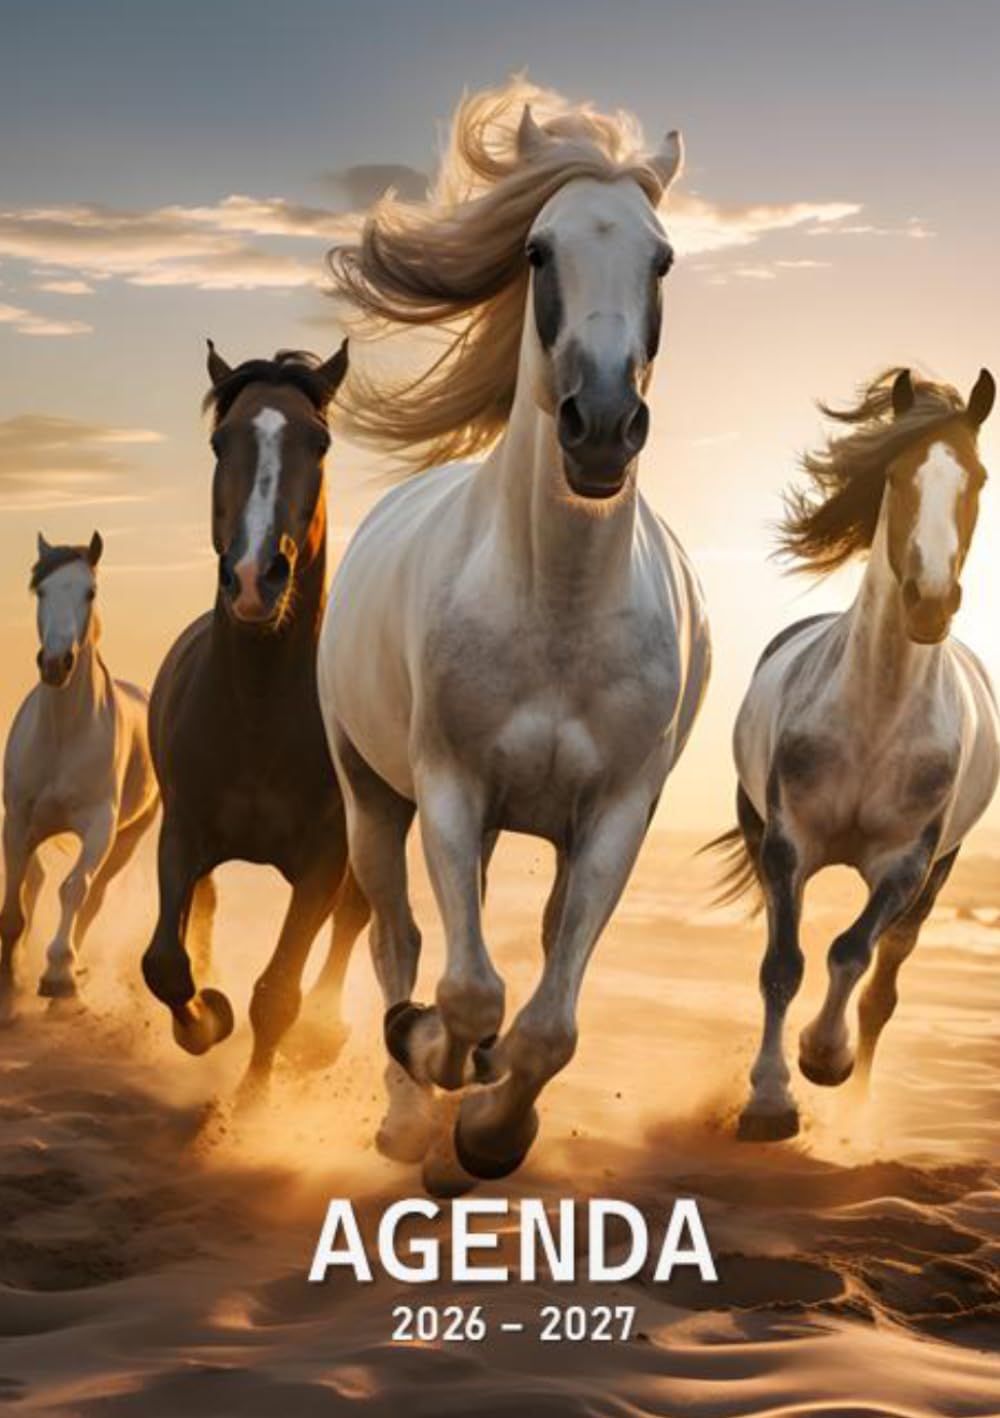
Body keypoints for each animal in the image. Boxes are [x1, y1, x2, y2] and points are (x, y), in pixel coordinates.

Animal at [1, 533, 158, 1012]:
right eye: (41, 590)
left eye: (90, 591)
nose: (56, 663)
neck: (62, 734)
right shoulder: (17, 821)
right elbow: (13, 905)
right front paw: (8, 982)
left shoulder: (99, 826)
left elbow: (73, 889)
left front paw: (58, 975)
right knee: (34, 881)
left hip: (126, 840)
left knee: (92, 898)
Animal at [140, 342, 369, 1099]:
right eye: (221, 441)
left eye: (319, 442)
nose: (251, 579)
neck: (259, 716)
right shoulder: (182, 831)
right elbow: (165, 963)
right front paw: (206, 1017)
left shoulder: (325, 858)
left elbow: (278, 992)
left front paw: (250, 1106)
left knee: (357, 917)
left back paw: (324, 1037)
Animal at [317, 81, 710, 1190]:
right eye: (538, 250)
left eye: (661, 259)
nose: (603, 427)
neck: (558, 611)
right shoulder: (449, 787)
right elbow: (464, 992)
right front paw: (434, 1078)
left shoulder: (616, 813)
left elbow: (545, 1022)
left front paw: (493, 1132)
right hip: (372, 797)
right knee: (403, 941)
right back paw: (409, 1115)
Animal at [714, 366, 997, 1142]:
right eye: (896, 475)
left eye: (979, 478)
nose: (930, 602)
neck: (877, 714)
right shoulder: (787, 845)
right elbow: (782, 965)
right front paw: (770, 1102)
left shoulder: (906, 866)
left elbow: (851, 952)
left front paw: (825, 1059)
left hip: (935, 881)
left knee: (883, 987)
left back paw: (858, 1111)